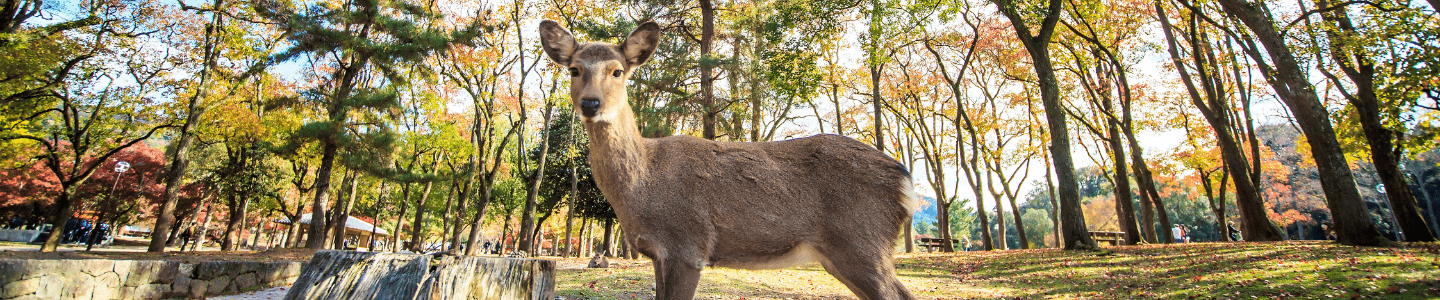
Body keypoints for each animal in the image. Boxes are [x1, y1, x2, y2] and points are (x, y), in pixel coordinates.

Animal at [541, 19, 921, 298]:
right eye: (574, 69)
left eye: (617, 70)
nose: (590, 104)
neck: (642, 184)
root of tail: (906, 180)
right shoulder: (659, 253)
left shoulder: (687, 244)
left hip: (862, 241)